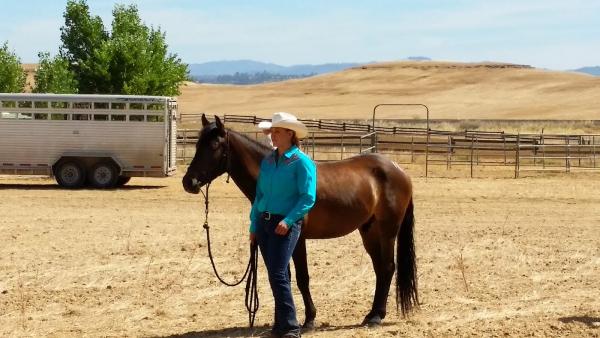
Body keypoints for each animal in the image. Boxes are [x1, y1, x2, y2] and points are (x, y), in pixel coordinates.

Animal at [180, 115, 420, 328]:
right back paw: (371, 314)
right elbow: (280, 277)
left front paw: (309, 319)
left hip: (388, 231)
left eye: (213, 145)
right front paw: (282, 322)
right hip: (369, 231)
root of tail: (399, 170)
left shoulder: (297, 240)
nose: (188, 182)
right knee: (380, 269)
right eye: (197, 145)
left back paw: (376, 317)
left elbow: (301, 278)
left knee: (387, 267)